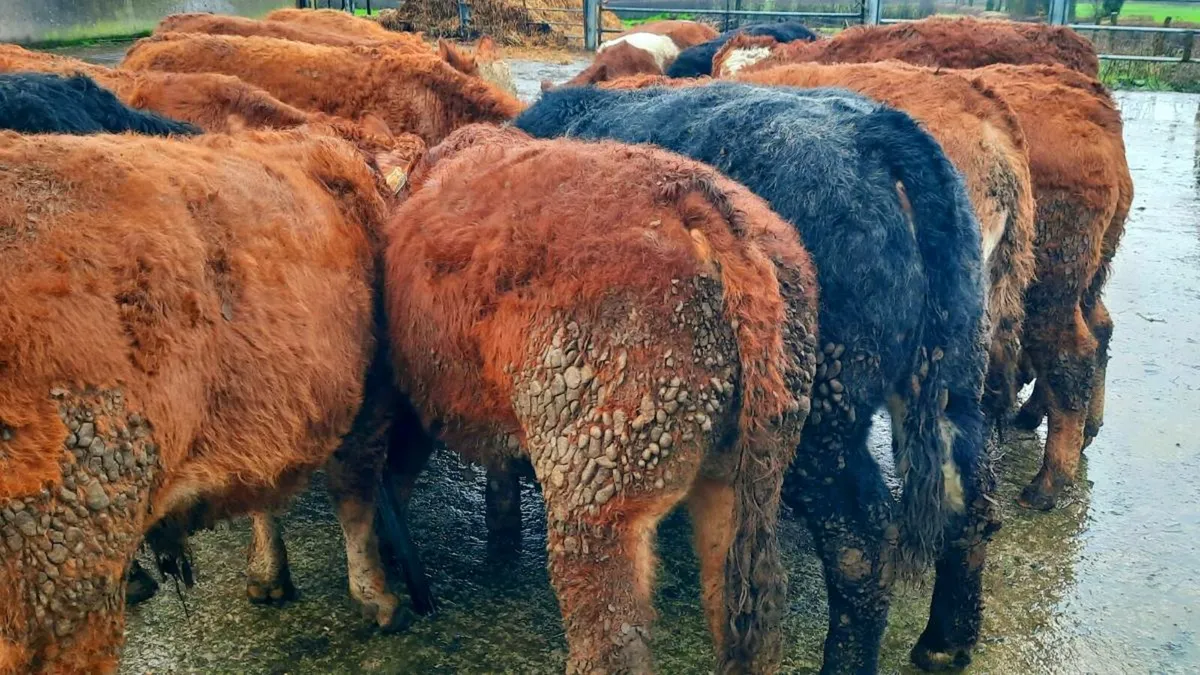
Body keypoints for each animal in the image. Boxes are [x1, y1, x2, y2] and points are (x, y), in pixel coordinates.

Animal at [0, 126, 425, 674]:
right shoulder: (369, 402)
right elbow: (356, 500)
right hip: (63, 562)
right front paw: (377, 597)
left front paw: (266, 574)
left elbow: (265, 495)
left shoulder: (272, 408)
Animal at [380, 123, 818, 673]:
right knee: (744, 621)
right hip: (743, 479)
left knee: (612, 641)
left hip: (598, 491)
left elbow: (395, 478)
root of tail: (690, 200)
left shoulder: (412, 401)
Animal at [516, 82, 997, 672]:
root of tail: (877, 132)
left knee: (860, 544)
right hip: (956, 372)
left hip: (822, 416)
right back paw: (945, 642)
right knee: (971, 497)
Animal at [966, 64, 1131, 510]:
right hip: (1085, 277)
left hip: (1048, 288)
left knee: (1072, 355)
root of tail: (1096, 114)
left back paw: (1047, 484)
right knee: (1099, 330)